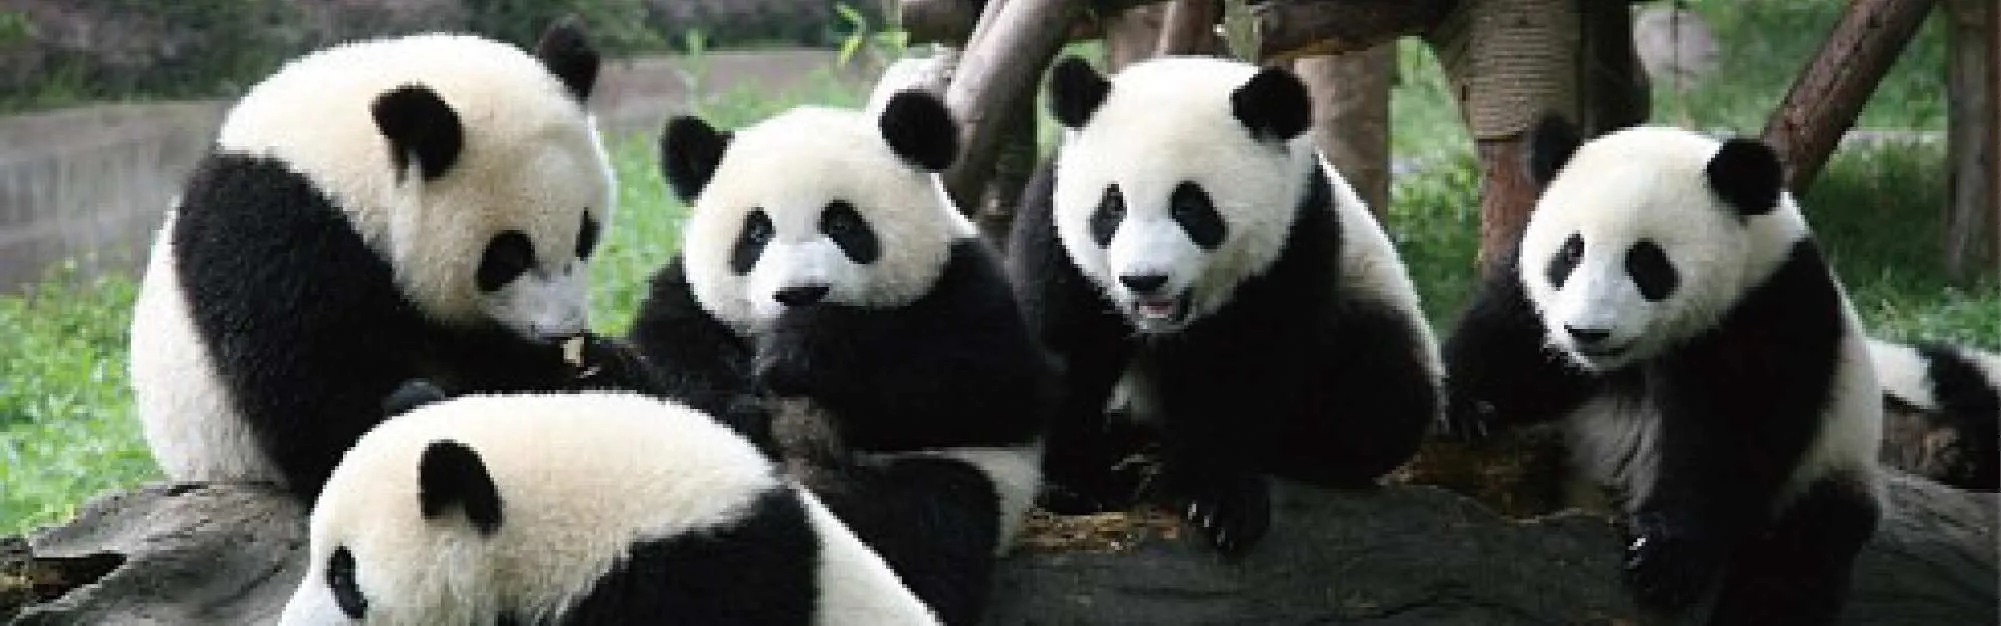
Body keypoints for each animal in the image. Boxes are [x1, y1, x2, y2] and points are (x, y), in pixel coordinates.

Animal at [129, 22, 617, 503]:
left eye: (585, 235)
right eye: (508, 255)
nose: (563, 331)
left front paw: (594, 363)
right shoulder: (272, 235)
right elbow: (306, 395)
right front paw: (414, 408)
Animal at [632, 89, 1053, 626]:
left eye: (842, 222)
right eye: (756, 233)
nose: (800, 293)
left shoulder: (967, 284)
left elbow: (990, 382)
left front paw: (803, 348)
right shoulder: (688, 299)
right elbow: (669, 355)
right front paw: (743, 407)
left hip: (959, 476)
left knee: (927, 523)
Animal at [1008, 56, 1442, 555]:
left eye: (1191, 206)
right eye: (1112, 205)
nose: (1144, 280)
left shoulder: (1294, 239)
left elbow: (1244, 369)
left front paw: (1215, 500)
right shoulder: (1055, 233)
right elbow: (1064, 349)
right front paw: (1071, 484)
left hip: (1368, 296)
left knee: (1381, 394)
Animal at [1440, 116, 1883, 625]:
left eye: (1646, 261)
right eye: (1571, 252)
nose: (1586, 332)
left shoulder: (1770, 306)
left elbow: (1732, 434)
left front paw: (1666, 558)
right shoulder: (1534, 301)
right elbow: (1513, 342)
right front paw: (1463, 406)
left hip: (1833, 463)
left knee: (1799, 559)